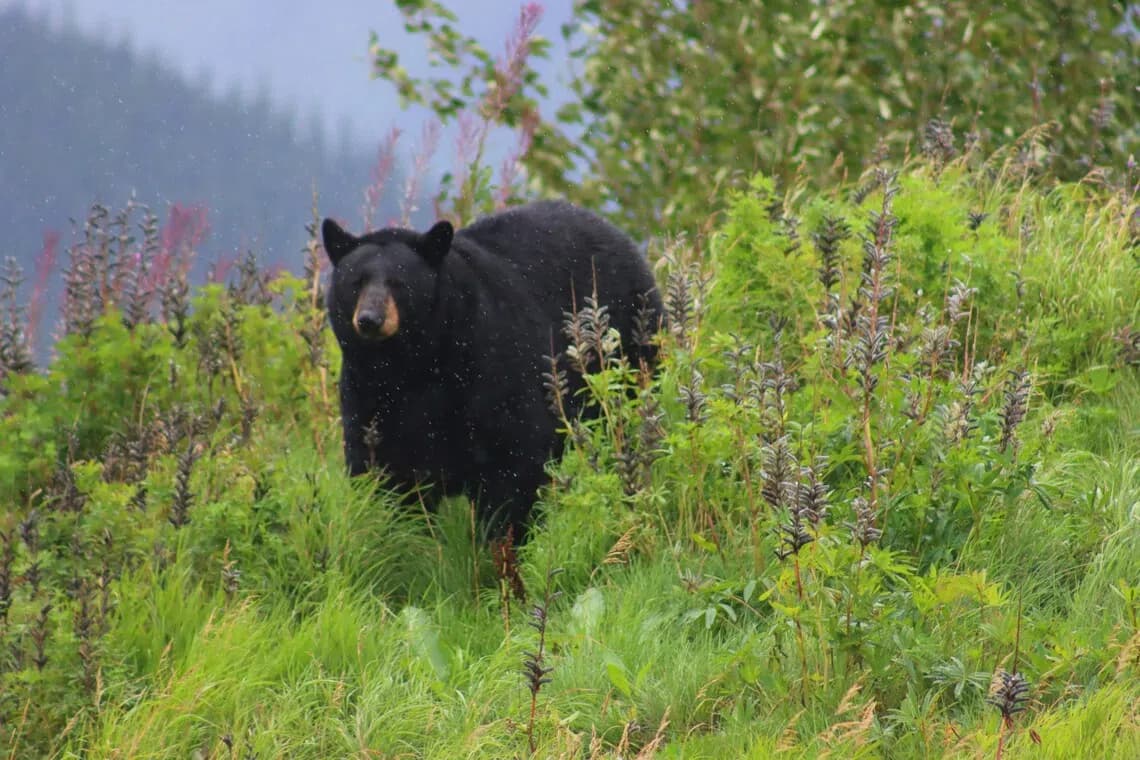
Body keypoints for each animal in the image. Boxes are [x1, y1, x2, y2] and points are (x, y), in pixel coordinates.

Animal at [321, 200, 663, 542]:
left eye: (399, 283)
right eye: (356, 282)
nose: (370, 319)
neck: (414, 366)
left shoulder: (491, 369)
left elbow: (514, 464)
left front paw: (504, 542)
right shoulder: (367, 395)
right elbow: (382, 472)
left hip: (629, 347)